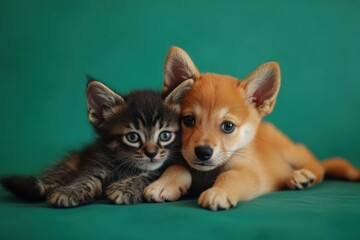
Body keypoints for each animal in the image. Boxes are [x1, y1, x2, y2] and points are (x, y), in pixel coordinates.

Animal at [1, 78, 193, 207]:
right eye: (132, 137)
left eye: (165, 136)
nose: (152, 154)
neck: (128, 167)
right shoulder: (98, 158)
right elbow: (88, 176)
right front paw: (70, 191)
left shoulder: (165, 164)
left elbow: (149, 174)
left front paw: (126, 188)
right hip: (69, 163)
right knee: (48, 182)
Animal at [144, 46, 360, 210]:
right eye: (188, 120)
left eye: (228, 126)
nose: (203, 152)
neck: (207, 174)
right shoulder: (184, 160)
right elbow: (177, 167)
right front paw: (162, 185)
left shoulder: (248, 173)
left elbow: (229, 175)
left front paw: (218, 192)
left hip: (293, 151)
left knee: (317, 166)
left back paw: (301, 175)